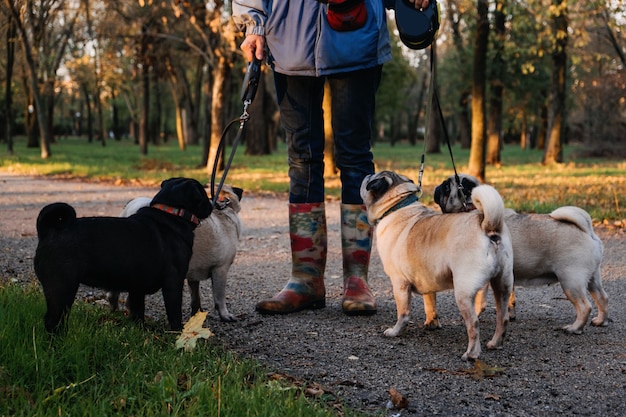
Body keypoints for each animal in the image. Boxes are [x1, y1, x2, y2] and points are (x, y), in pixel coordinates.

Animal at [108, 183, 243, 322]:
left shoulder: (193, 275)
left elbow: (196, 297)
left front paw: (196, 315)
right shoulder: (221, 269)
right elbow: (219, 297)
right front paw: (225, 315)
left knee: (114, 292)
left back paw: (114, 311)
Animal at [360, 171, 512, 360]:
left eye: (369, 178)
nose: (366, 174)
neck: (397, 206)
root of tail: (488, 226)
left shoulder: (399, 284)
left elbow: (403, 313)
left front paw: (395, 332)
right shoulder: (426, 278)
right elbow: (430, 303)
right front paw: (432, 323)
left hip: (463, 292)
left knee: (473, 324)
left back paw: (471, 353)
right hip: (502, 284)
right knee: (502, 317)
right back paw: (495, 343)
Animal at [434, 171, 604, 332]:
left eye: (447, 186)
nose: (437, 187)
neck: (471, 209)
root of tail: (587, 230)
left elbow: (478, 301)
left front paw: (475, 313)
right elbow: (510, 298)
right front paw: (510, 314)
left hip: (571, 281)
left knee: (585, 306)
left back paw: (574, 328)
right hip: (592, 278)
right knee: (602, 297)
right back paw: (600, 321)